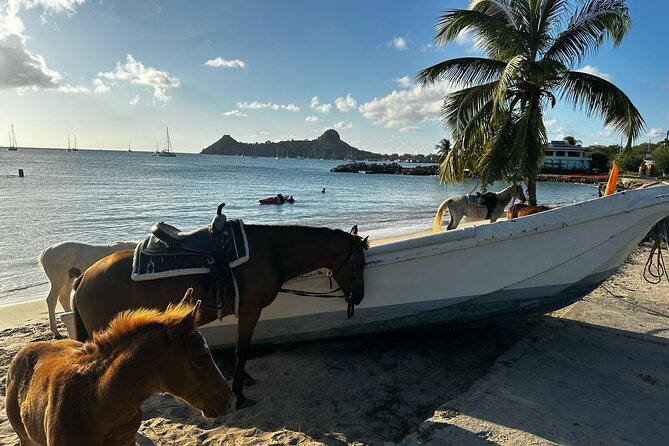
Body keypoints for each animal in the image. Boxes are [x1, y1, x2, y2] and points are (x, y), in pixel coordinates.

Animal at [72, 224, 369, 409]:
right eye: (361, 263)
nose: (359, 297)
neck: (271, 252)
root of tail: (83, 277)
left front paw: (243, 379)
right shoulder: (250, 309)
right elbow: (242, 349)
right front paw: (240, 393)